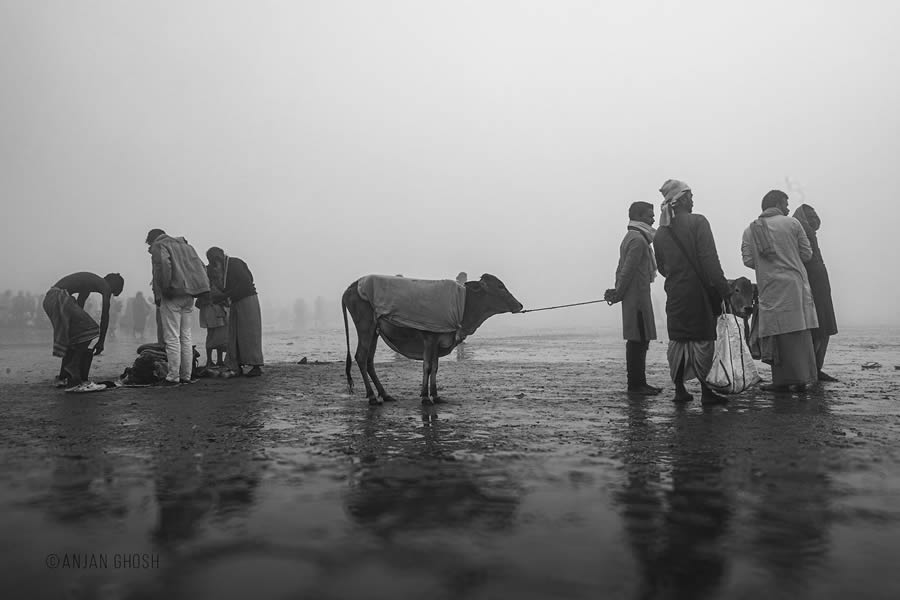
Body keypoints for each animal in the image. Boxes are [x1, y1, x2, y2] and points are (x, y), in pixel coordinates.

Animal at [342, 274, 524, 406]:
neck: (464, 303)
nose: (520, 305)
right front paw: (424, 397)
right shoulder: (429, 338)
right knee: (361, 357)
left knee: (369, 361)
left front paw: (435, 396)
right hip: (365, 327)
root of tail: (352, 285)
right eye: (500, 286)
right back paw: (372, 396)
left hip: (375, 332)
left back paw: (385, 394)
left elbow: (435, 368)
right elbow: (428, 367)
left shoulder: (437, 342)